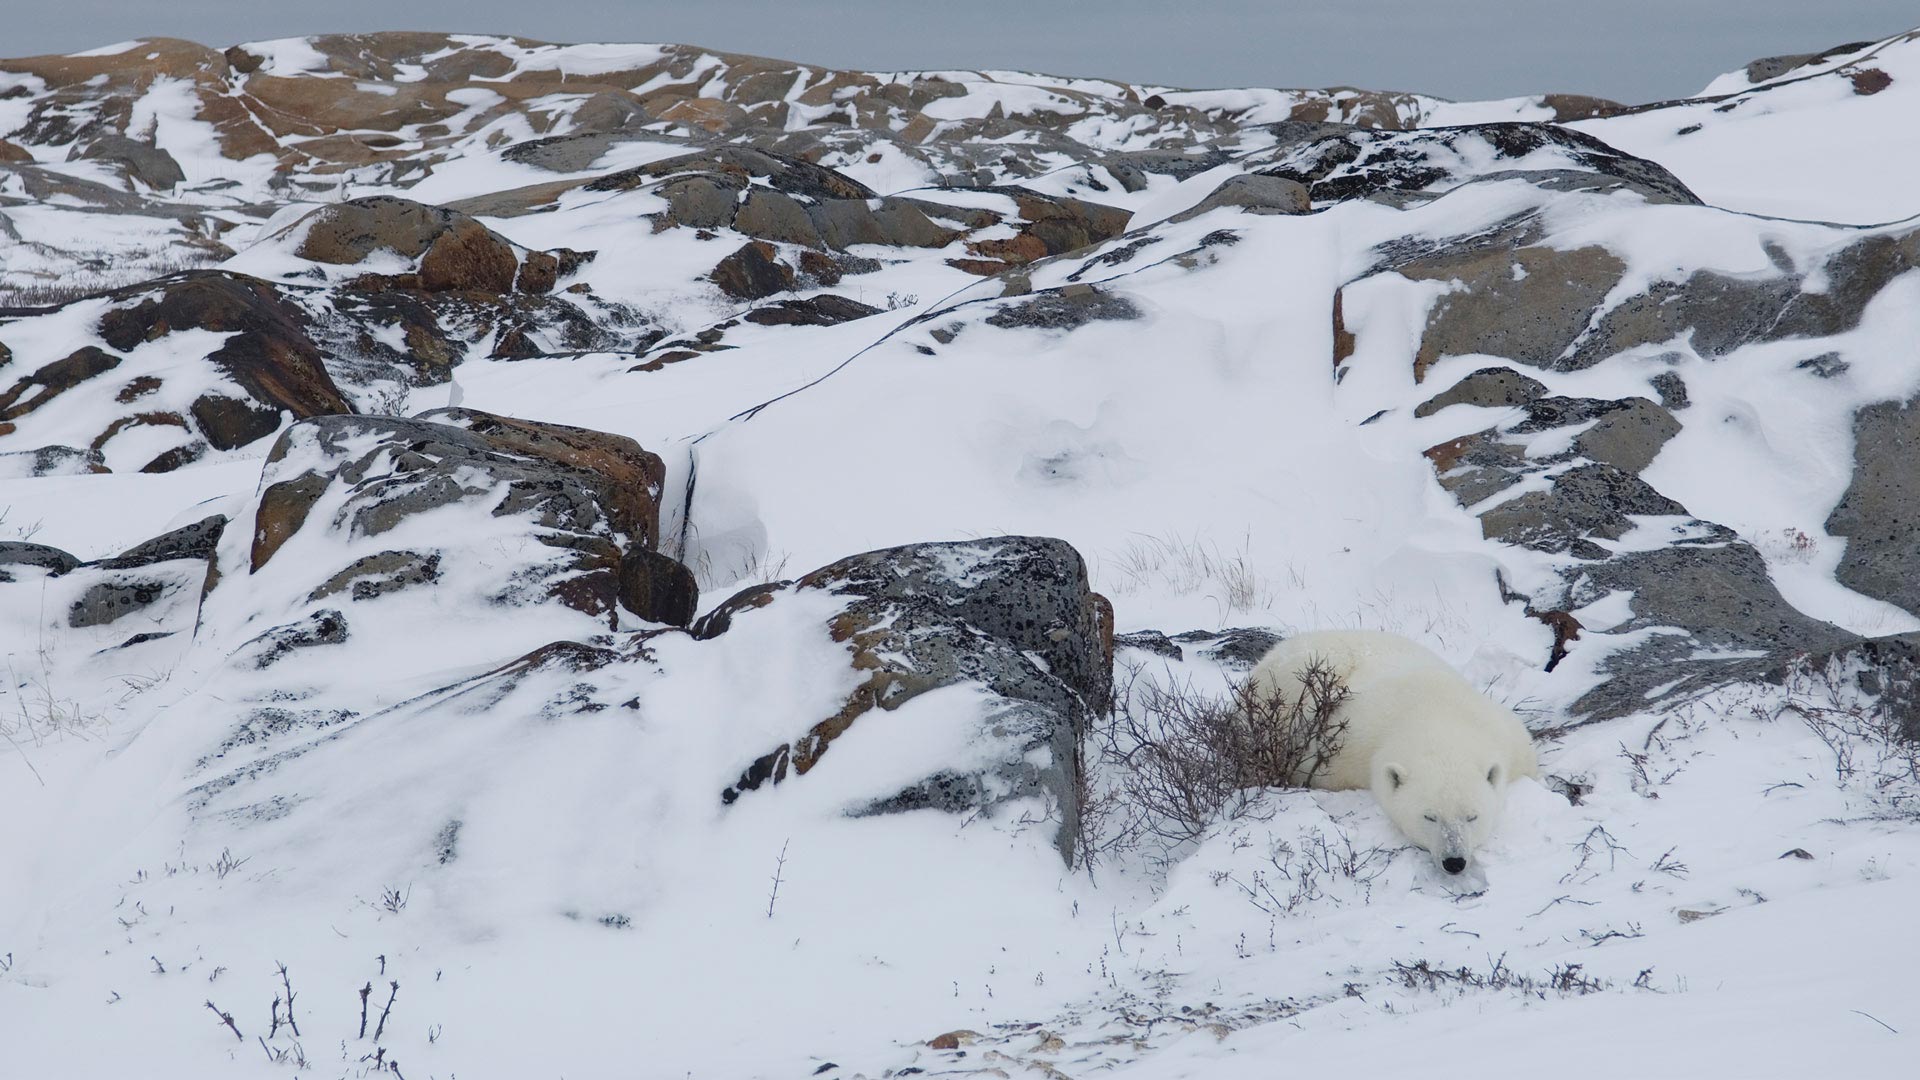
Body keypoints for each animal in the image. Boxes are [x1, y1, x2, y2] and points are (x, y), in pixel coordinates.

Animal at [1244, 626, 1543, 868]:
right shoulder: (1341, 752)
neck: (1436, 714)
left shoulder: (1506, 734)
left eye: (1472, 816)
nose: (1454, 861)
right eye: (1429, 817)